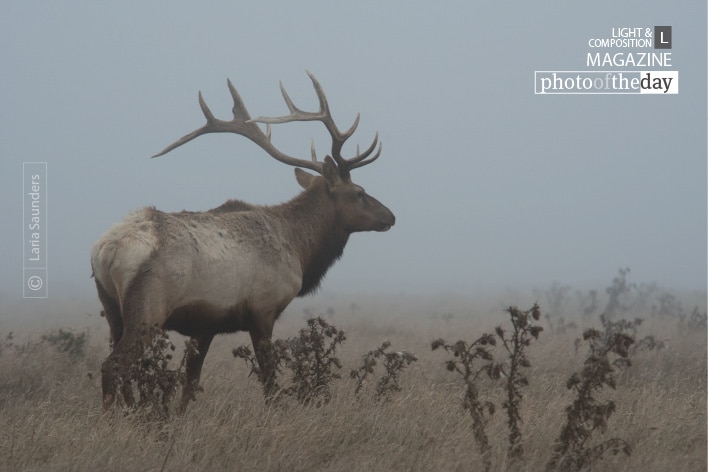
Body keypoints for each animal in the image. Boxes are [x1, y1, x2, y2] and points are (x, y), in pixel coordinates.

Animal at [91, 72, 395, 412]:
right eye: (360, 193)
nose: (391, 216)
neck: (300, 249)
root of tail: (107, 250)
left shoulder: (206, 323)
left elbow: (190, 384)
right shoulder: (263, 309)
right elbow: (269, 380)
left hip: (111, 308)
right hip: (148, 310)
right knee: (113, 366)